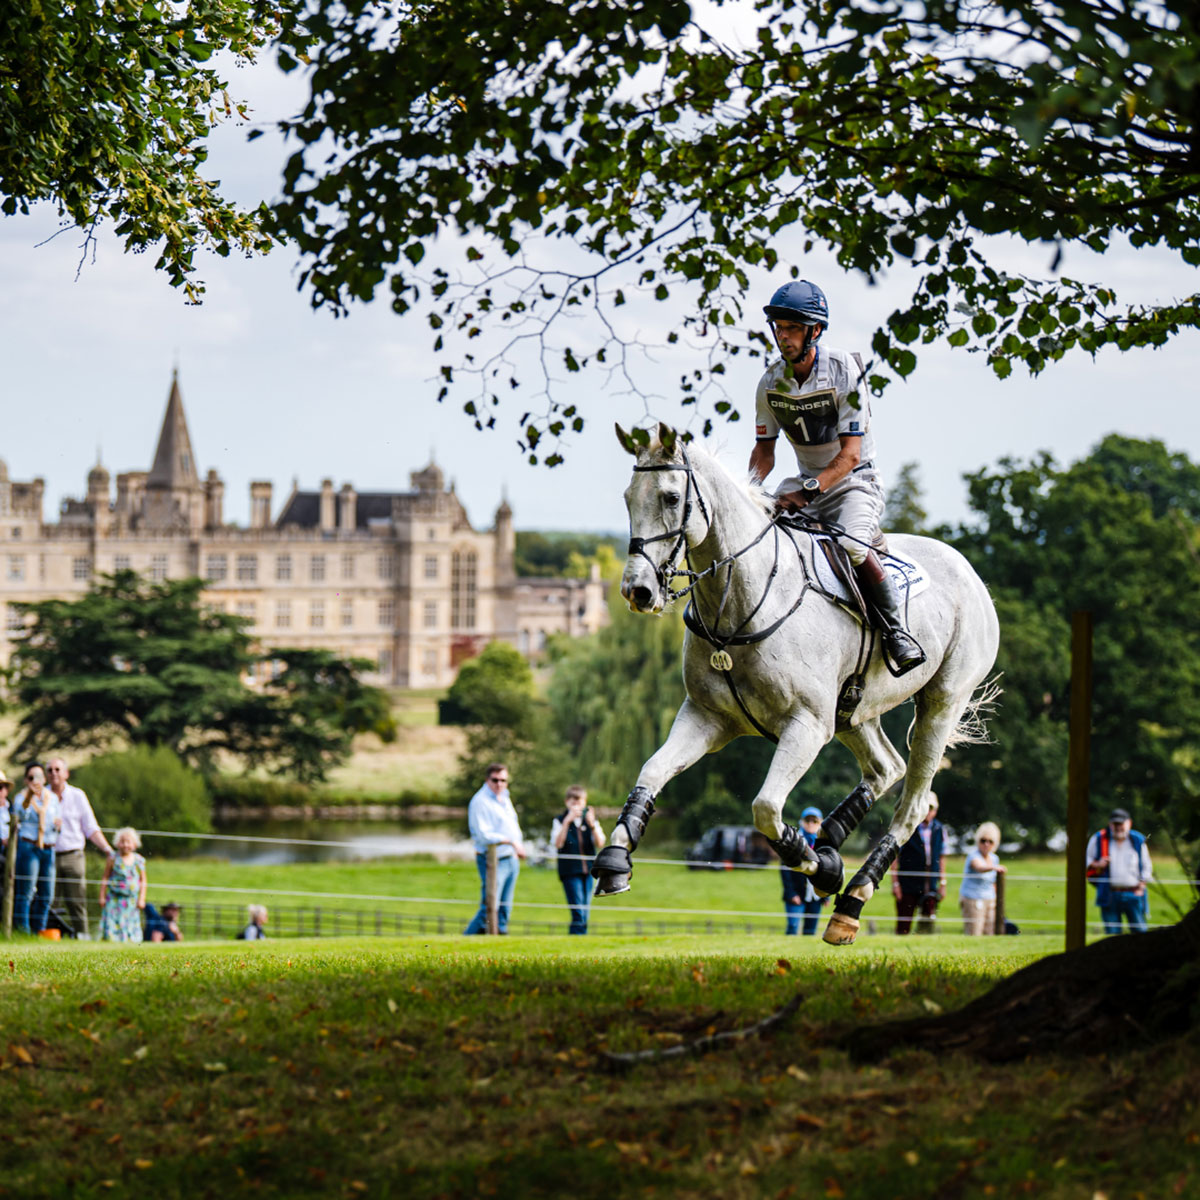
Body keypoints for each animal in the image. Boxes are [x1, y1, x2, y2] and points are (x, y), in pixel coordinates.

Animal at [588, 427, 993, 940]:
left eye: (671, 497)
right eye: (628, 497)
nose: (637, 592)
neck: (739, 601)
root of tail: (968, 568)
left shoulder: (806, 726)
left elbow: (765, 808)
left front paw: (821, 869)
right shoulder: (706, 718)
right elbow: (652, 772)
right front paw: (615, 859)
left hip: (941, 703)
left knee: (913, 805)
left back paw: (851, 898)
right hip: (852, 711)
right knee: (886, 766)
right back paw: (833, 835)